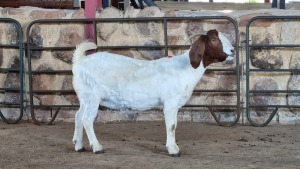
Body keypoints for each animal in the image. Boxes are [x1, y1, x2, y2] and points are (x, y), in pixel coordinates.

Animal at [72, 29, 234, 157]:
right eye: (213, 39)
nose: (233, 50)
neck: (185, 68)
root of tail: (80, 61)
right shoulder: (170, 102)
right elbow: (172, 126)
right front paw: (174, 150)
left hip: (84, 97)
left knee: (78, 116)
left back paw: (79, 146)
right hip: (92, 97)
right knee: (87, 119)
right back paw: (97, 147)